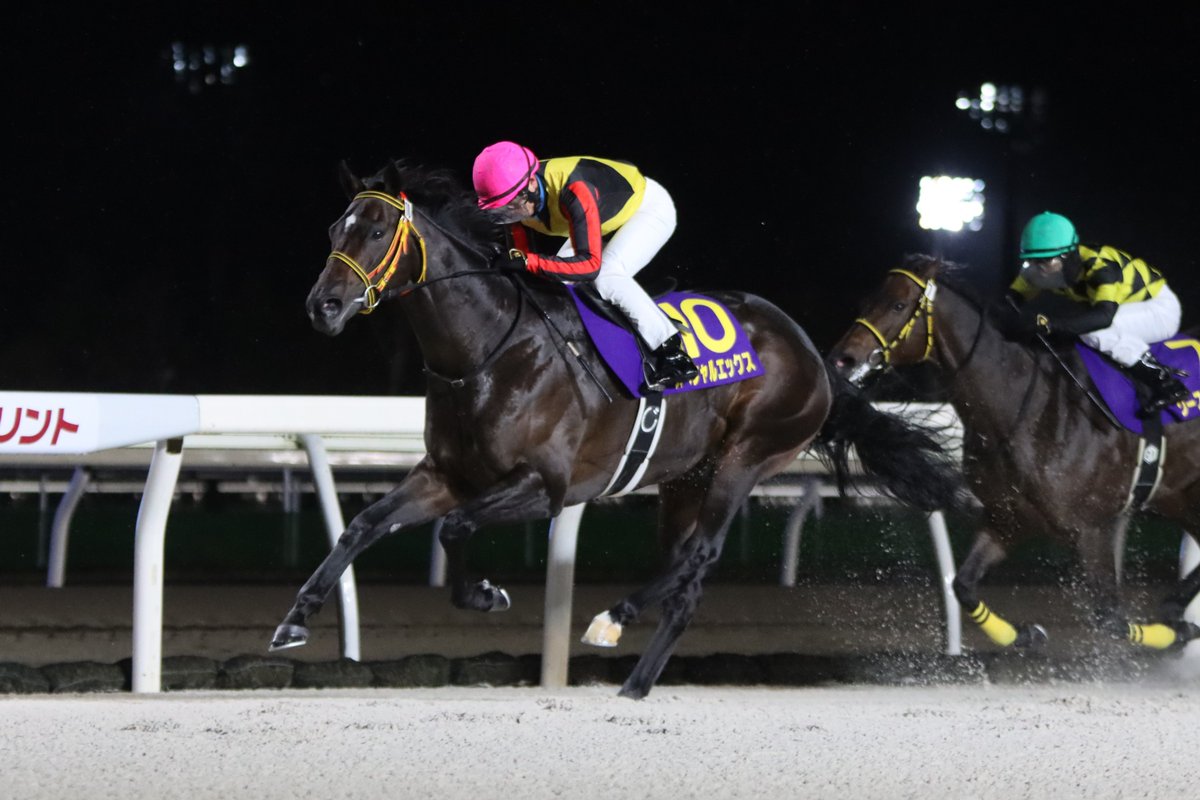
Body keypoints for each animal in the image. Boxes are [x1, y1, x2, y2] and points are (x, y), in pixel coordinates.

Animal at [272, 160, 966, 699]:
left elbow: (457, 527)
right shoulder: (446, 475)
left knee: (700, 554)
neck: (487, 353)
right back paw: (635, 680)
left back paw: (614, 616)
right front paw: (295, 620)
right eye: (335, 228)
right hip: (685, 477)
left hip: (747, 456)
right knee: (685, 570)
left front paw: (486, 595)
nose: (321, 306)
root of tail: (811, 352)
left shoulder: (546, 486)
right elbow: (363, 525)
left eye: (378, 229)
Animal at [827, 254, 1200, 656]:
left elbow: (1110, 620)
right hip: (1178, 497)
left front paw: (1177, 630)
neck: (1023, 410)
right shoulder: (1007, 520)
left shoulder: (1092, 530)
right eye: (866, 302)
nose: (842, 360)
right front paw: (1026, 634)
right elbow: (962, 586)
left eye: (897, 305)